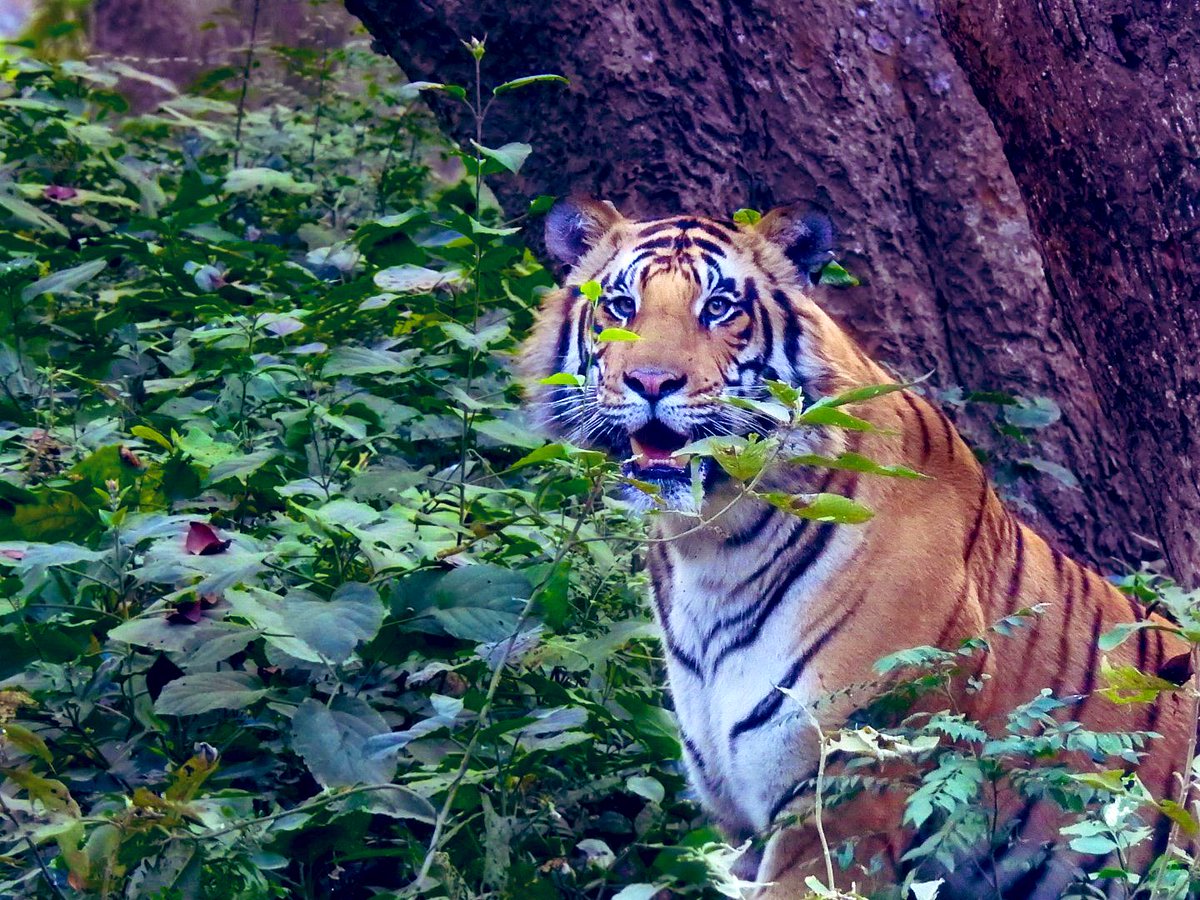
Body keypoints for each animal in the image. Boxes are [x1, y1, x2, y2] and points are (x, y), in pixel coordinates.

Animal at [519, 197, 1194, 898]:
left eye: (719, 307)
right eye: (621, 306)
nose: (651, 381)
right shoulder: (736, 821)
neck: (709, 544)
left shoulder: (846, 800)